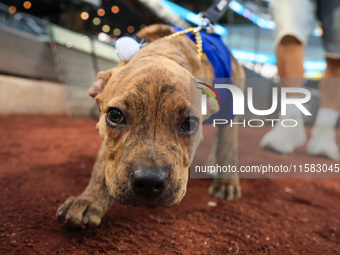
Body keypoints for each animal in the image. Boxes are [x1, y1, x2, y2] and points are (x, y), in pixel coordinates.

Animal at [57, 24, 246, 227]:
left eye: (189, 123)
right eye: (115, 115)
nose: (149, 181)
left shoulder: (229, 114)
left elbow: (228, 148)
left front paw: (226, 183)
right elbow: (102, 166)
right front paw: (89, 200)